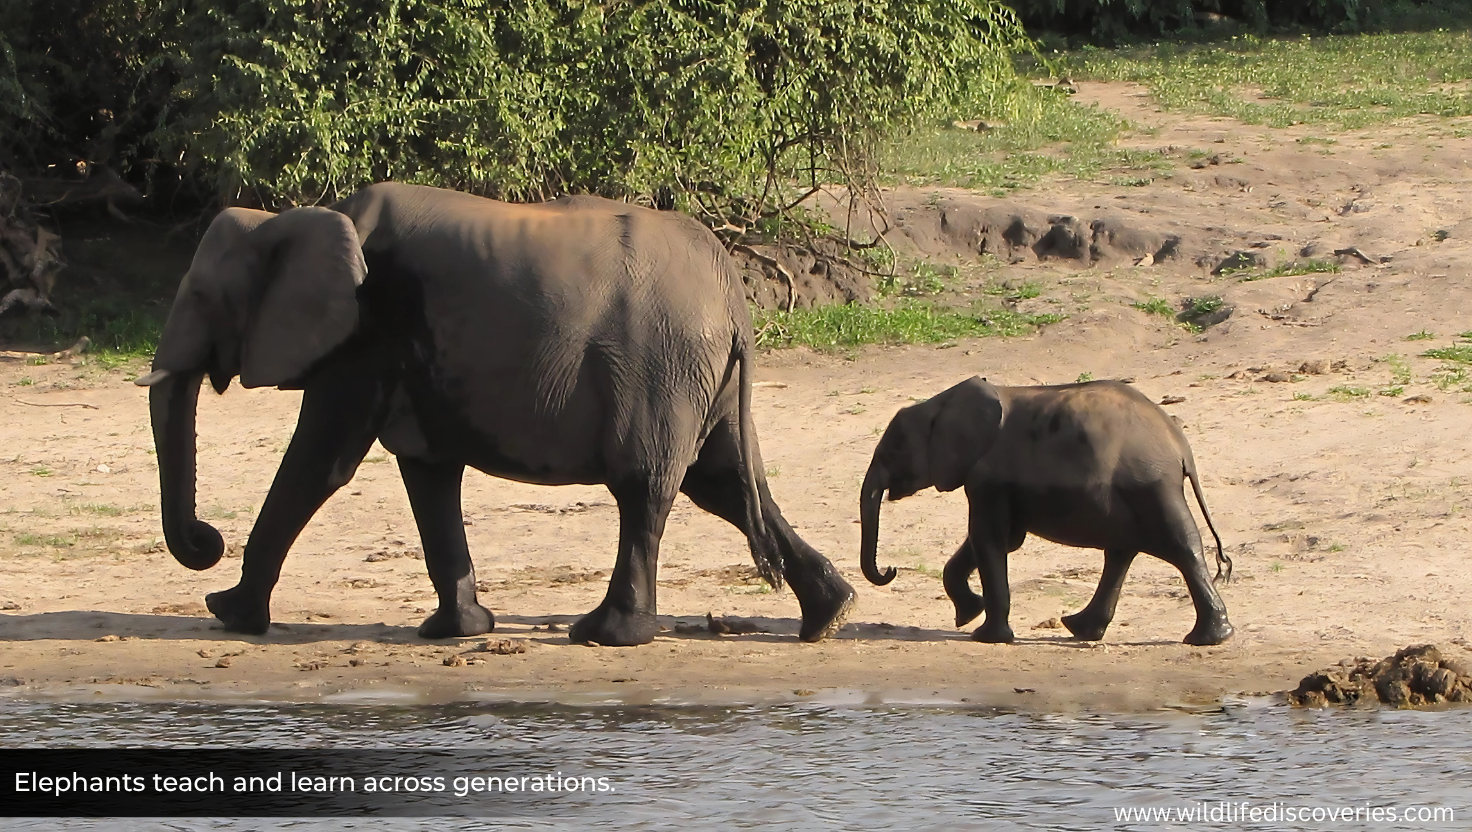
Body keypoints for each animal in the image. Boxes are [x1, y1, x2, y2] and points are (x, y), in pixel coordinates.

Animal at [135, 181, 855, 647]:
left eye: (200, 297)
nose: (206, 540)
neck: (289, 218)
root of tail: (734, 295)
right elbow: (427, 473)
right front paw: (453, 632)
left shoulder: (366, 333)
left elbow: (320, 460)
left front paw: (228, 615)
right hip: (701, 374)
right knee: (726, 483)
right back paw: (830, 617)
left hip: (663, 365)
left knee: (645, 488)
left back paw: (607, 636)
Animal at [858, 376, 1233, 646]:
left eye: (891, 452)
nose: (890, 569)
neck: (938, 405)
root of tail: (1181, 447)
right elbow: (1001, 540)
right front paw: (968, 615)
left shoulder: (989, 479)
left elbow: (988, 539)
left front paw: (985, 637)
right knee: (1122, 552)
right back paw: (1080, 629)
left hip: (1149, 486)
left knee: (1180, 548)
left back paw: (1207, 639)